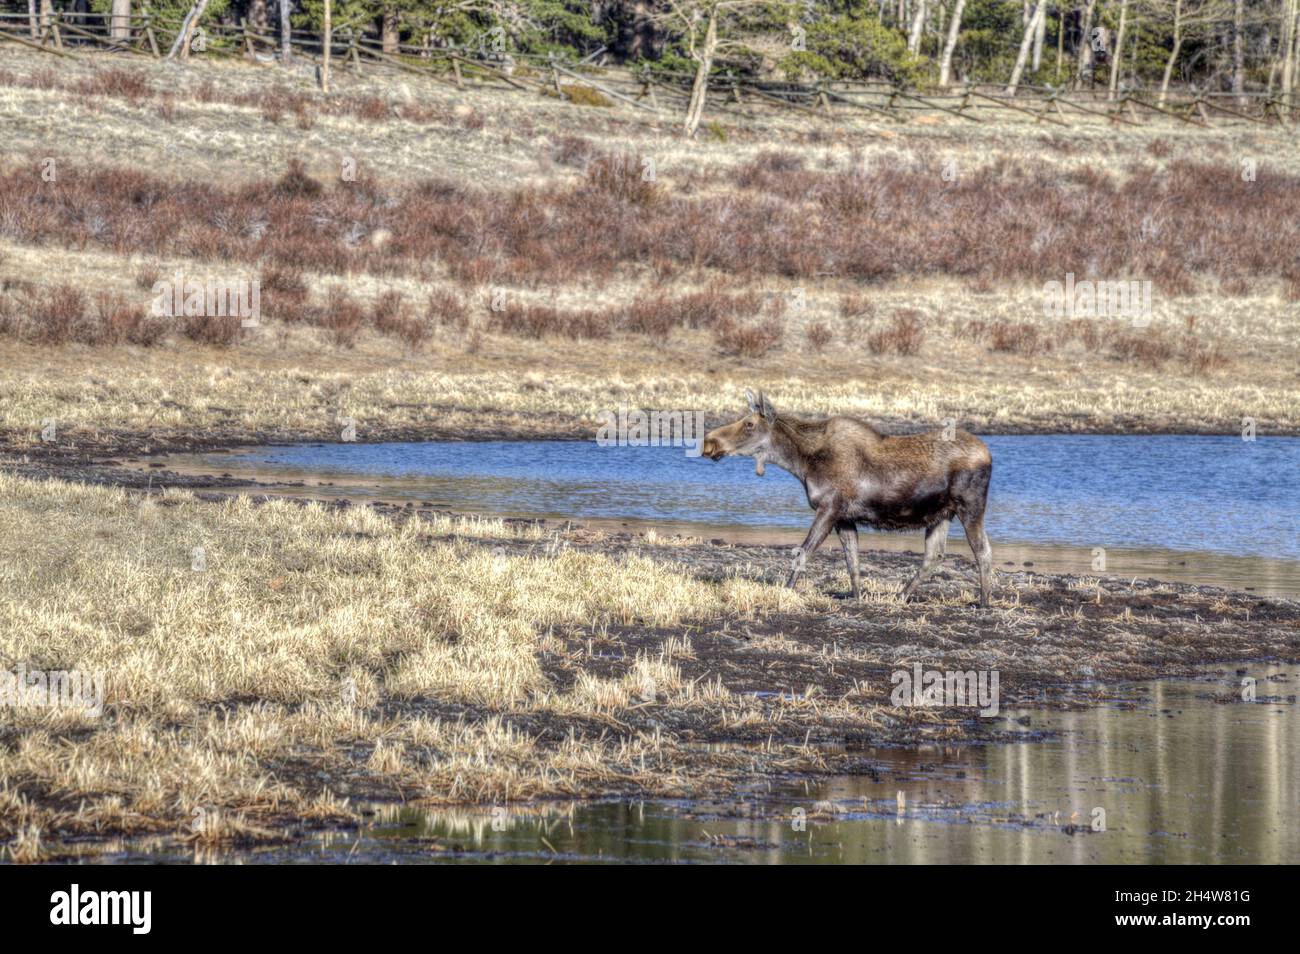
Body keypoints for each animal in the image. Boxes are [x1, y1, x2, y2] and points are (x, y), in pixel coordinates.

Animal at [700, 390, 994, 608]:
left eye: (749, 424)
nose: (709, 442)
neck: (803, 462)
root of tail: (989, 455)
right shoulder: (845, 517)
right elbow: (852, 561)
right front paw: (857, 596)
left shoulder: (829, 508)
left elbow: (803, 553)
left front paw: (786, 590)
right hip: (940, 514)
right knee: (935, 555)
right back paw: (901, 595)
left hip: (970, 506)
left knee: (982, 551)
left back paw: (984, 602)